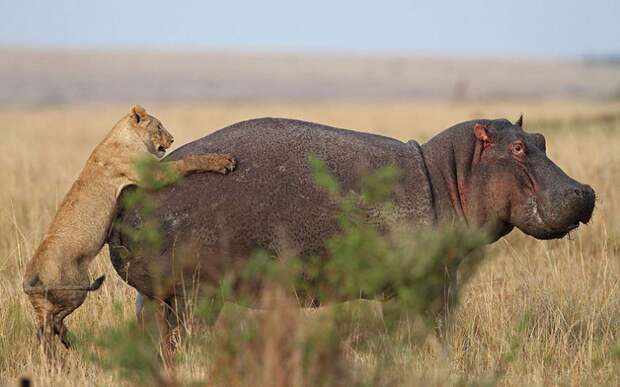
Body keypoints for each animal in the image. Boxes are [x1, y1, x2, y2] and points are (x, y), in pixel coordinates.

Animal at [108, 116, 596, 348]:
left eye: (541, 139)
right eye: (516, 148)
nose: (584, 190)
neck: (450, 175)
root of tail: (130, 192)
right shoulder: (417, 285)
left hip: (154, 295)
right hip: (196, 293)